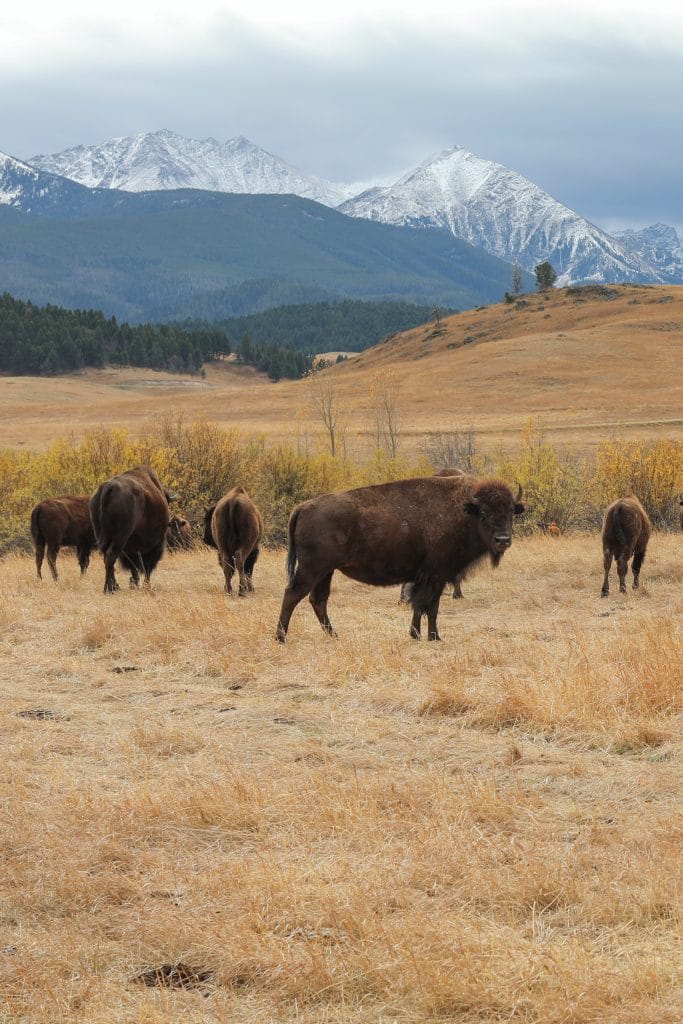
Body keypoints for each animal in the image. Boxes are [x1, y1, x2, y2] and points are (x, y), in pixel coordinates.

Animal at [89, 465, 171, 593]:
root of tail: (108, 488)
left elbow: (134, 566)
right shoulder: (155, 545)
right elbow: (147, 567)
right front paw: (146, 586)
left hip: (102, 536)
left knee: (107, 558)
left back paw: (114, 587)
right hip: (121, 538)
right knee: (111, 556)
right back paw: (109, 589)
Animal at [276, 474, 524, 642]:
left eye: (511, 510)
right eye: (484, 512)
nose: (502, 540)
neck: (464, 511)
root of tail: (303, 507)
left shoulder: (427, 577)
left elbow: (422, 606)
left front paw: (418, 635)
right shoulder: (435, 575)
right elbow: (429, 606)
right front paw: (433, 637)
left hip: (326, 571)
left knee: (318, 599)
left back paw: (333, 635)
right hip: (312, 568)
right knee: (292, 594)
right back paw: (281, 638)